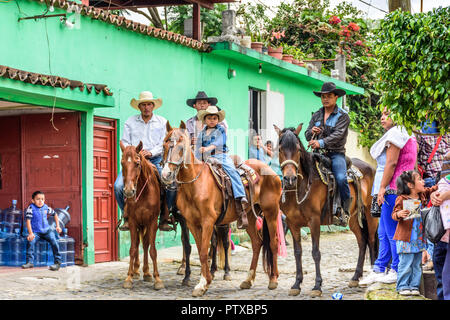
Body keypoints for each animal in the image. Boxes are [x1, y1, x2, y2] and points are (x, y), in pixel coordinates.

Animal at [119, 140, 165, 290]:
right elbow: (133, 249)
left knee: (145, 245)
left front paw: (157, 279)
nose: (128, 191)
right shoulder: (133, 221)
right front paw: (129, 277)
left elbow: (152, 250)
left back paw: (146, 273)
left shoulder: (152, 222)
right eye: (122, 163)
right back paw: (137, 271)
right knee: (139, 243)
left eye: (137, 163)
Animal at [161, 120, 282, 298]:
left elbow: (204, 252)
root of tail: (270, 170)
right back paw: (248, 279)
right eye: (164, 144)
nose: (166, 174)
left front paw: (202, 283)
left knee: (273, 243)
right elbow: (200, 250)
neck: (195, 184)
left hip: (271, 211)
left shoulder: (208, 222)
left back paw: (273, 279)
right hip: (250, 217)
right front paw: (206, 281)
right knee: (257, 243)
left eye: (181, 147)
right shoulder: (191, 223)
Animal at [274, 124, 380, 296]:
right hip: (353, 220)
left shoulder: (314, 221)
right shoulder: (292, 223)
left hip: (371, 217)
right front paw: (296, 284)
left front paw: (317, 286)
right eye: (280, 149)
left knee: (371, 241)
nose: (290, 179)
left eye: (297, 149)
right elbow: (298, 252)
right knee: (362, 242)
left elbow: (316, 253)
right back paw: (355, 277)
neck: (301, 187)